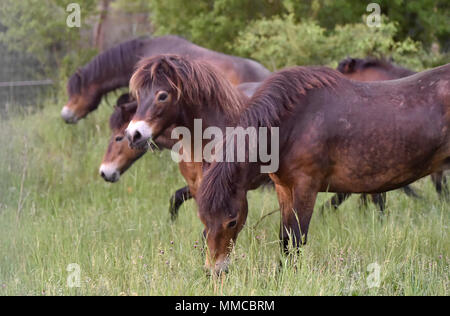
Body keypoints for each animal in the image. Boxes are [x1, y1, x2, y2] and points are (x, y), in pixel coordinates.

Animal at [197, 64, 450, 274]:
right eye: (203, 218)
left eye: (232, 221)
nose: (214, 270)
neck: (294, 123)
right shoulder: (283, 188)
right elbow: (285, 238)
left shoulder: (306, 187)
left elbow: (297, 238)